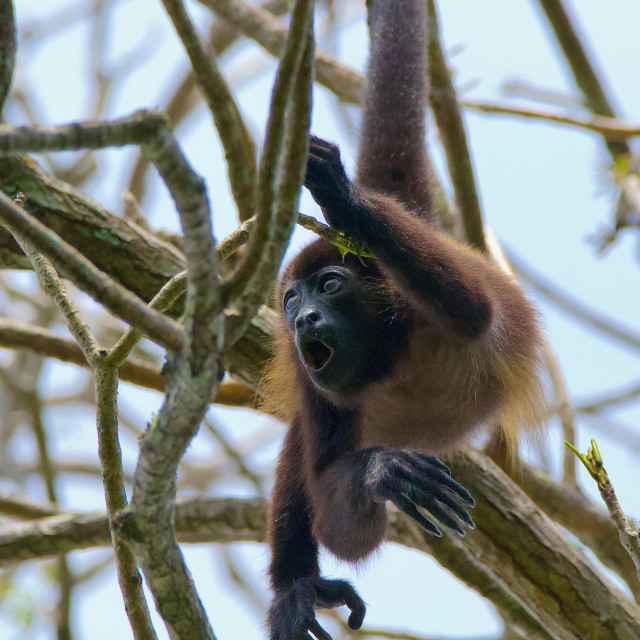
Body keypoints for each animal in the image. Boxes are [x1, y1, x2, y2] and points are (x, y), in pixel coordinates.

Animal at [264, 2, 544, 636]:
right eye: (290, 300)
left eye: (330, 287)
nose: (305, 319)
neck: (384, 358)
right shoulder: (316, 391)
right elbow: (341, 525)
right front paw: (381, 471)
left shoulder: (423, 308)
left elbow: (475, 309)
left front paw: (342, 197)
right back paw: (298, 586)